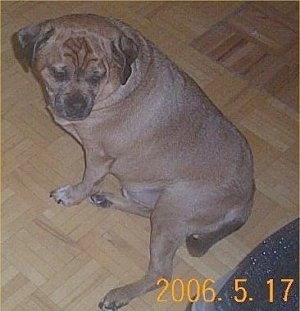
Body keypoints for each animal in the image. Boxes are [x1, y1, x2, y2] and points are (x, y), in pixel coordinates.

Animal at [15, 14, 255, 311]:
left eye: (97, 76)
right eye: (59, 73)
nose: (76, 106)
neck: (118, 85)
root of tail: (248, 196)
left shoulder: (98, 156)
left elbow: (87, 181)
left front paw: (71, 195)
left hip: (173, 208)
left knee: (161, 273)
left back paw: (120, 294)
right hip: (148, 196)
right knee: (146, 211)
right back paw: (107, 199)